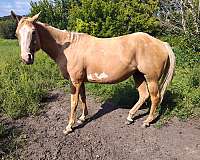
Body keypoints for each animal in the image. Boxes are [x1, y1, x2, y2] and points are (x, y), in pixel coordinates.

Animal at [11, 11, 176, 134]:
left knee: (155, 97)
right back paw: (130, 117)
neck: (66, 48)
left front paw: (69, 126)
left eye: (33, 32)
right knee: (143, 95)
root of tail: (161, 43)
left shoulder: (75, 81)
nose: (26, 58)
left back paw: (147, 121)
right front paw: (82, 118)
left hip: (151, 78)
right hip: (138, 75)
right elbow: (83, 98)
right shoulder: (81, 81)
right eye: (17, 34)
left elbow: (74, 102)